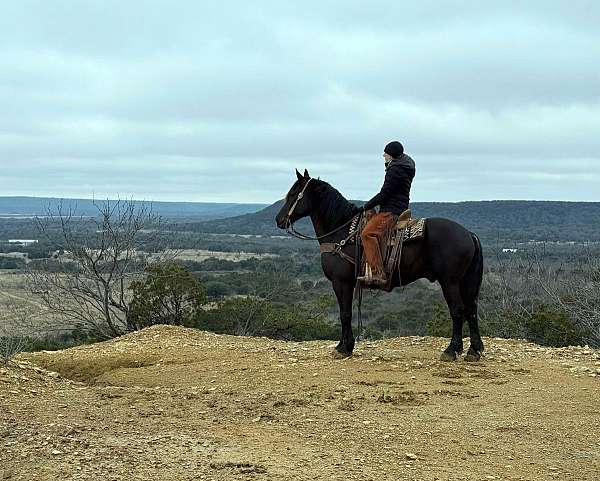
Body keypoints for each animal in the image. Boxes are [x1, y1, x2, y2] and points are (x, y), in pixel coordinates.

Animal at [274, 169, 486, 360]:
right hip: (465, 281)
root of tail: (468, 234)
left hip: (449, 282)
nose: (279, 220)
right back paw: (473, 351)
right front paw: (345, 346)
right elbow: (347, 313)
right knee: (471, 310)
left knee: (458, 311)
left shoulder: (341, 282)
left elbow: (345, 314)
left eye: (293, 194)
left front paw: (343, 348)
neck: (341, 232)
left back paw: (451, 351)